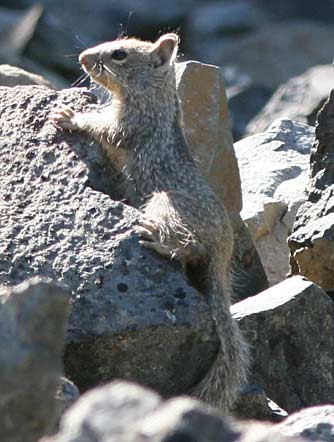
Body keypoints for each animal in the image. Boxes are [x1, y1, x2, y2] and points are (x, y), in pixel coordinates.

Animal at [52, 32, 249, 412]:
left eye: (119, 53)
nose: (83, 58)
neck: (154, 95)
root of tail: (223, 252)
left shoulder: (130, 124)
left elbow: (105, 128)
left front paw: (70, 116)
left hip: (163, 204)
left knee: (191, 247)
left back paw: (159, 241)